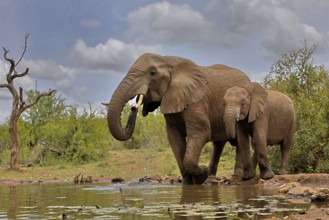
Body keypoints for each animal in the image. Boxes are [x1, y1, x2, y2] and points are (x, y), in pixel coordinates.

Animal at [104, 52, 262, 184]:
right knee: (218, 144)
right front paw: (188, 183)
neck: (168, 61)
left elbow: (200, 133)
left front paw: (202, 174)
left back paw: (235, 178)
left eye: (152, 73)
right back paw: (212, 177)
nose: (133, 107)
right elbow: (175, 139)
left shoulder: (196, 101)